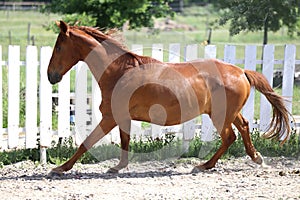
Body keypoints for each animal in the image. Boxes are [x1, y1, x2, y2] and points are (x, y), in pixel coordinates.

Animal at [47, 19, 290, 173]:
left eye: (58, 47)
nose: (51, 76)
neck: (119, 71)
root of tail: (241, 71)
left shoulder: (110, 118)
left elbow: (86, 143)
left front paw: (60, 168)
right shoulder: (121, 117)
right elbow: (124, 141)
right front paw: (118, 167)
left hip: (221, 115)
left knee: (230, 136)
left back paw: (204, 165)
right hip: (230, 113)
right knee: (245, 127)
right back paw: (256, 158)